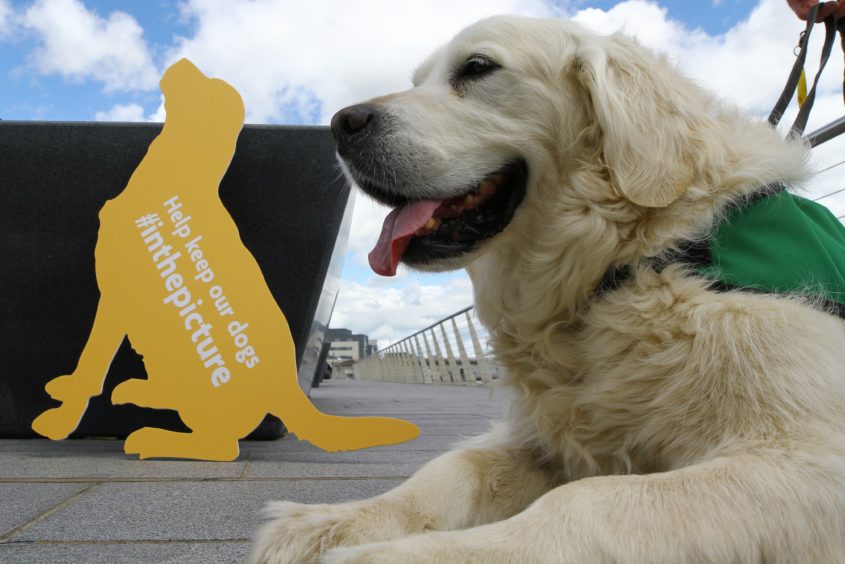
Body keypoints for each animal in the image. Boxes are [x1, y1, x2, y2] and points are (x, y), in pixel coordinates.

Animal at [249, 15, 844, 560]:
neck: (630, 262)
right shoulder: (548, 436)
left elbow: (587, 501)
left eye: (478, 67)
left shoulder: (808, 459)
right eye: (418, 81)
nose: (340, 123)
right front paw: (333, 522)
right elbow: (455, 467)